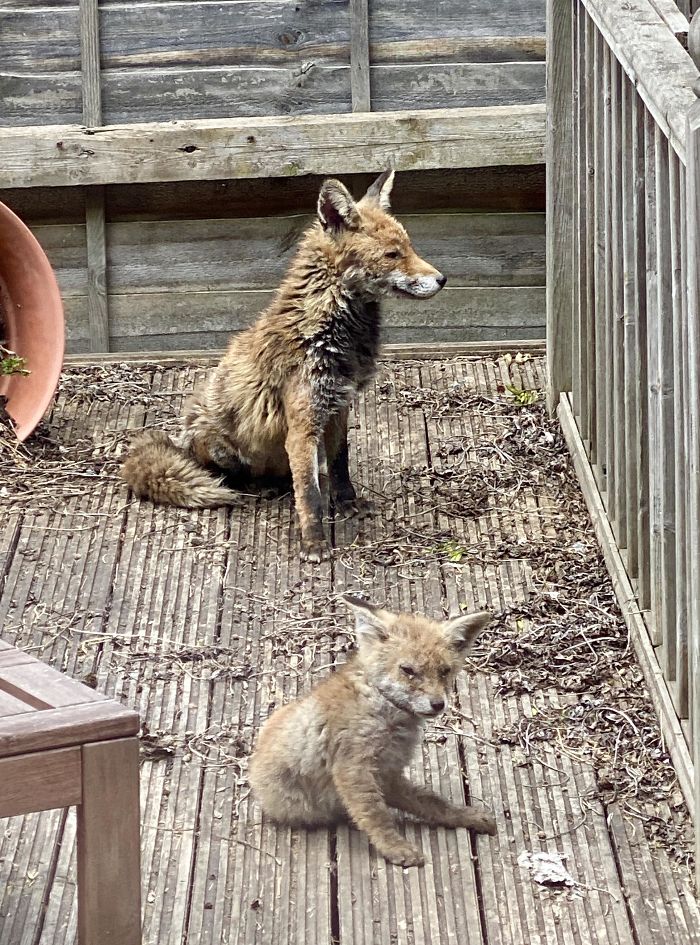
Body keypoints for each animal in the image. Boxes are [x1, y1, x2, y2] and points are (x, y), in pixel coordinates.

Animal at [120, 171, 446, 562]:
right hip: (218, 444)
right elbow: (309, 493)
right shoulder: (303, 425)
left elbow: (340, 465)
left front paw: (347, 503)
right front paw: (314, 542)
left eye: (410, 247)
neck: (329, 330)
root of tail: (180, 440)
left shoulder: (338, 407)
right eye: (392, 255)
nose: (442, 279)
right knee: (238, 476)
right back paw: (260, 487)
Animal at [248, 595, 496, 868]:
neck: (382, 707)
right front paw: (395, 848)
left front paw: (462, 815)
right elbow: (377, 815)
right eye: (408, 670)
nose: (438, 704)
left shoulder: (388, 773)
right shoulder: (353, 767)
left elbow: (431, 801)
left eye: (444, 671)